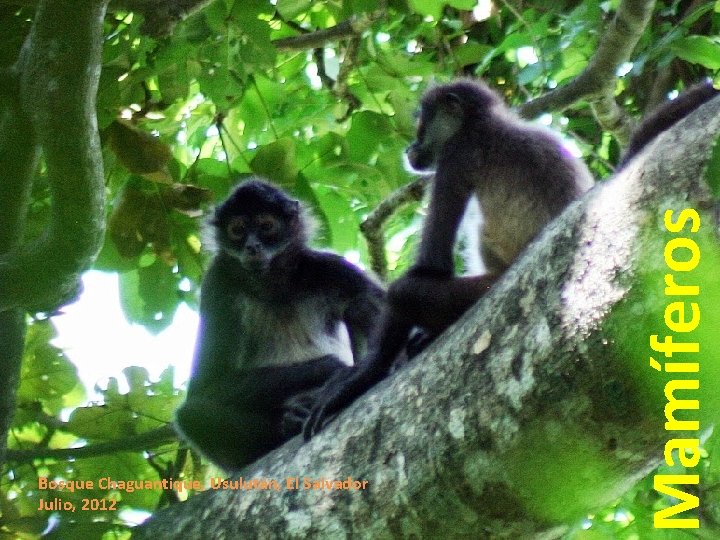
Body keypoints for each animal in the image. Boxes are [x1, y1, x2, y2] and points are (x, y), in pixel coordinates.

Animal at [175, 179, 386, 470]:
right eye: (237, 230)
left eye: (266, 226)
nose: (252, 246)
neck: (271, 284)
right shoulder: (218, 282)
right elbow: (206, 386)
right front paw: (331, 368)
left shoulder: (323, 265)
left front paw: (349, 378)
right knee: (191, 414)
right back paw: (291, 422)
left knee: (362, 304)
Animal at [306, 77, 720, 438]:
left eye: (421, 123)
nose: (410, 147)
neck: (486, 123)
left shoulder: (456, 155)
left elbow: (431, 266)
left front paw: (362, 377)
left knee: (406, 291)